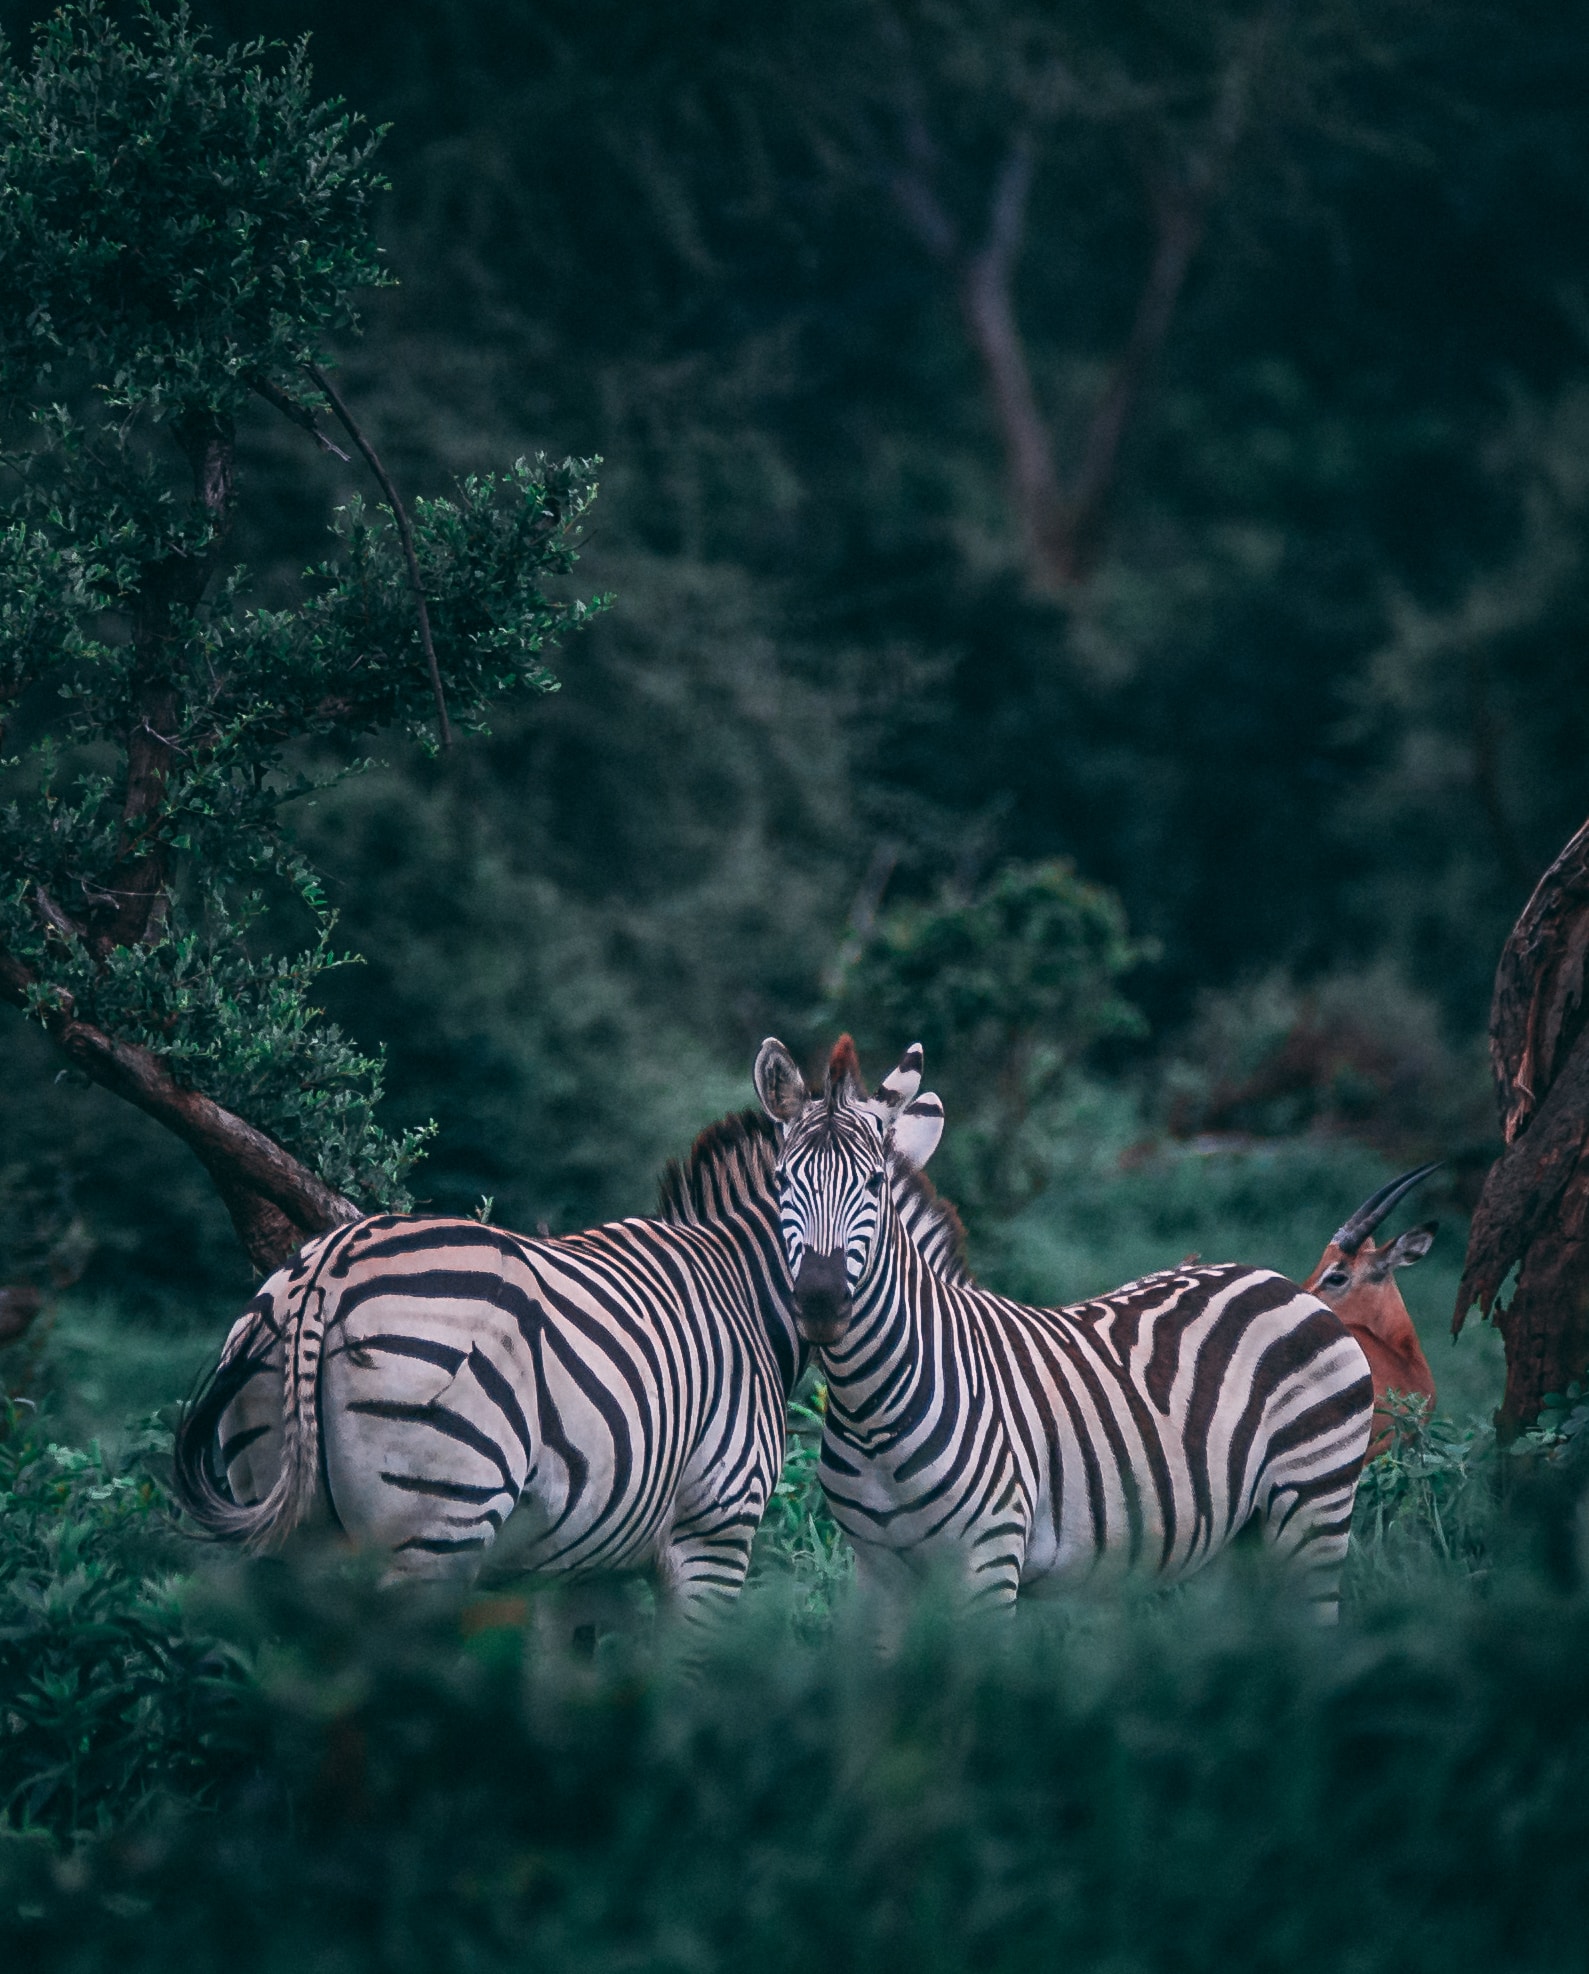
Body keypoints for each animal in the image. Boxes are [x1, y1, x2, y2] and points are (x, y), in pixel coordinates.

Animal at [173, 1105, 967, 1610]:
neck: (741, 1289)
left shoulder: (591, 1560)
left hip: (283, 1517)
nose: (824, 1301)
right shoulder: (714, 1533)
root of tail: (328, 1266)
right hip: (435, 1527)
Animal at [750, 1034, 1373, 1618]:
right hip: (1232, 1541)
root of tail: (1280, 1281)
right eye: (780, 1182)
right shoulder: (877, 1572)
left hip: (1314, 1507)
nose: (821, 1302)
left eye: (875, 1185)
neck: (873, 1410)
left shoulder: (990, 1559)